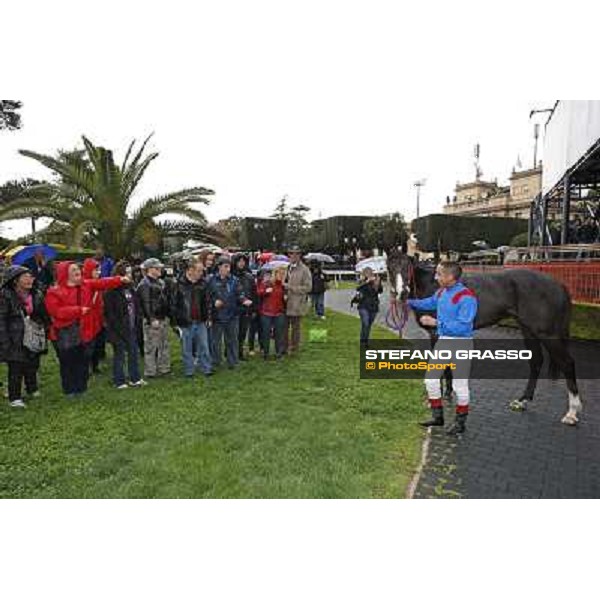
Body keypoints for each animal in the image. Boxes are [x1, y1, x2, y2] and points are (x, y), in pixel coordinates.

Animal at [384, 248, 580, 426]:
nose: (401, 293)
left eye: (407, 266)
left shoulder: (435, 332)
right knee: (536, 362)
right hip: (528, 330)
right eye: (389, 267)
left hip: (547, 333)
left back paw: (571, 413)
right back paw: (522, 401)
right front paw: (448, 394)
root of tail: (558, 284)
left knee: (567, 363)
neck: (435, 286)